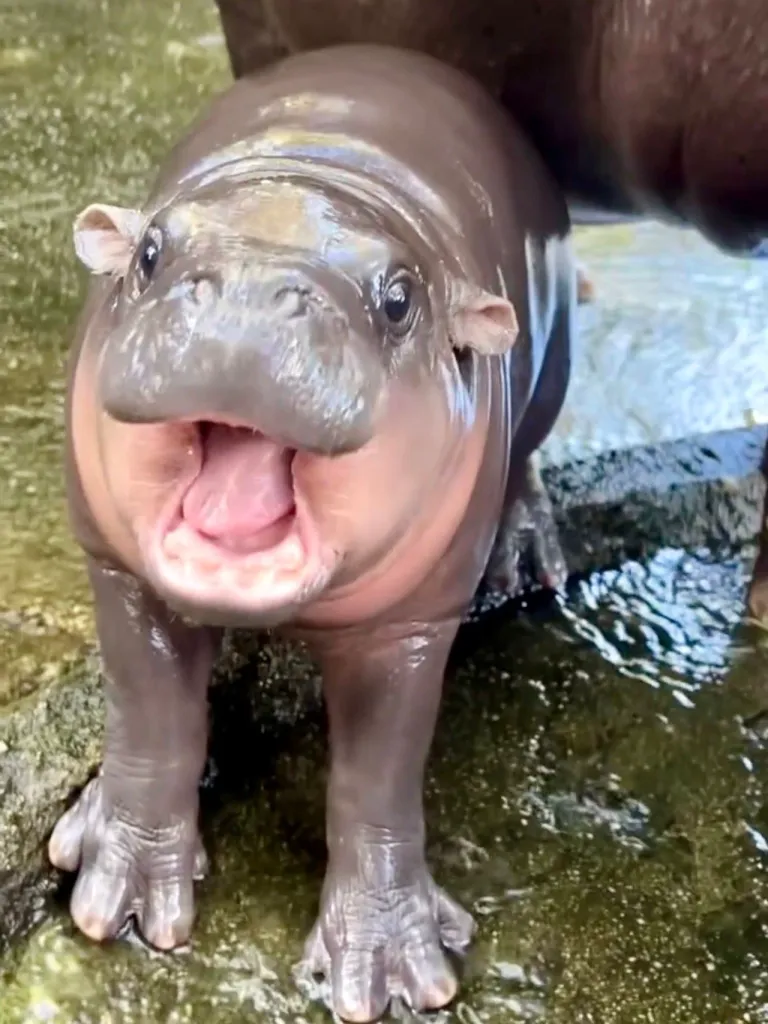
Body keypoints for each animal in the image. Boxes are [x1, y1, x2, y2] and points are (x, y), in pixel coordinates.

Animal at [50, 45, 574, 1021]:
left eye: (400, 299)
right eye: (148, 253)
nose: (251, 301)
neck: (315, 177)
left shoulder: (411, 626)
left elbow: (377, 783)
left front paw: (393, 973)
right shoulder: (121, 569)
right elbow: (150, 719)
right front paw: (116, 900)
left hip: (553, 369)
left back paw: (526, 558)